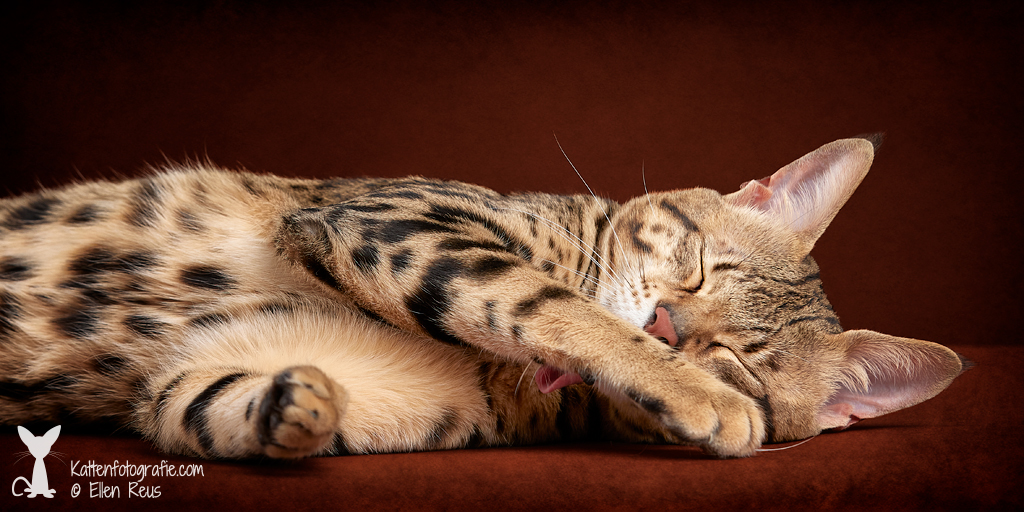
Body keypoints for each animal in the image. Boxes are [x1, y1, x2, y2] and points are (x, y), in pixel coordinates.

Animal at [0, 136, 966, 459]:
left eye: (742, 361)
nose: (666, 323)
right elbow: (548, 300)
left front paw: (298, 405)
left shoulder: (189, 376)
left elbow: (213, 407)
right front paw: (694, 396)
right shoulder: (389, 220)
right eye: (695, 269)